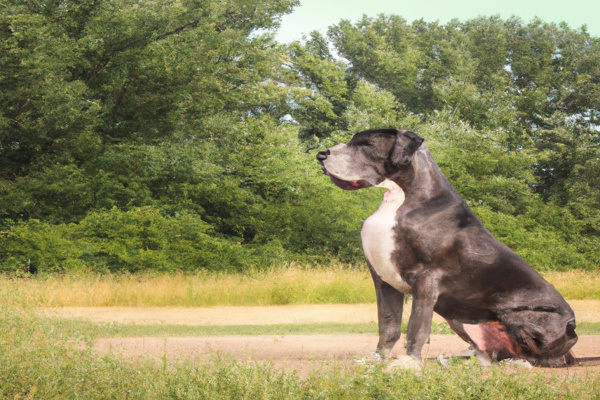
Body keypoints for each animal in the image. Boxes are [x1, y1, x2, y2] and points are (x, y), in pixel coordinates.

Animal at [316, 130, 580, 368]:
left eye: (366, 144)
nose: (320, 154)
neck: (399, 197)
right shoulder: (384, 281)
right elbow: (388, 325)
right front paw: (377, 361)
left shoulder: (426, 279)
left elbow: (417, 325)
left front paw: (409, 363)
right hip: (460, 321)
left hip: (524, 317)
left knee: (545, 359)